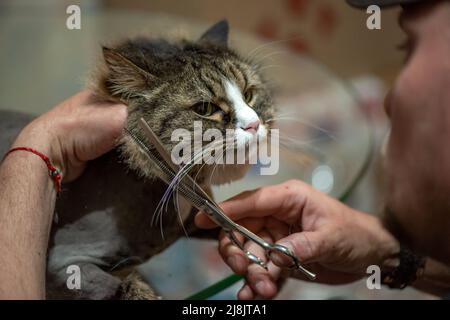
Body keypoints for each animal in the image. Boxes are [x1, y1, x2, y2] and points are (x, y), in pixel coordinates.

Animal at [0, 20, 276, 300]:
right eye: (205, 109)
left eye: (248, 94)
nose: (254, 124)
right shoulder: (63, 264)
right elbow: (118, 287)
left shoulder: (201, 218)